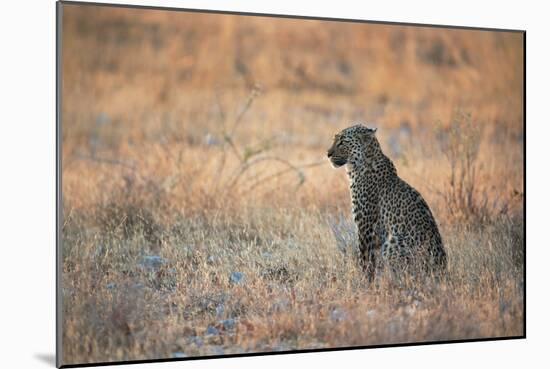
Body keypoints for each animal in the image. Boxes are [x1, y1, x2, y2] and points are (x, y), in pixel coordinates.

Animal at [328, 123, 448, 282]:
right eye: (335, 140)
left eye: (343, 142)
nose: (328, 154)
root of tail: (442, 272)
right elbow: (371, 260)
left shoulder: (366, 227)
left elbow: (365, 259)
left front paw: (364, 282)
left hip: (394, 242)